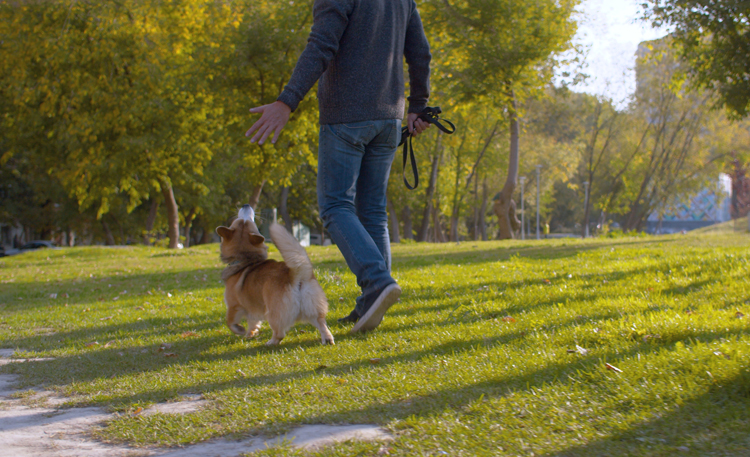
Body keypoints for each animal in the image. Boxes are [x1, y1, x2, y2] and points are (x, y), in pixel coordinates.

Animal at [217, 205, 334, 344]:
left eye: (246, 220)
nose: (246, 205)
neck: (245, 258)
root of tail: (295, 275)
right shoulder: (252, 310)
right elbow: (253, 322)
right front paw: (250, 333)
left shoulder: (233, 305)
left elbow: (230, 321)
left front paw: (240, 330)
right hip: (313, 310)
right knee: (322, 324)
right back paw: (327, 339)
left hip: (273, 314)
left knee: (279, 333)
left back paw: (270, 343)